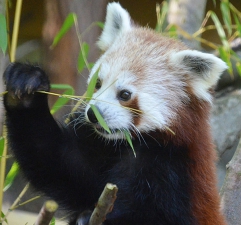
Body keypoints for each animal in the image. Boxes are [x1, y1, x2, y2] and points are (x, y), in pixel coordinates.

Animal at [2, 1, 227, 225]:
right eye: (98, 83)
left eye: (125, 94)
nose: (93, 114)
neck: (128, 145)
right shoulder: (96, 147)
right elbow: (59, 162)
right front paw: (26, 85)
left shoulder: (176, 171)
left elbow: (151, 216)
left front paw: (87, 217)